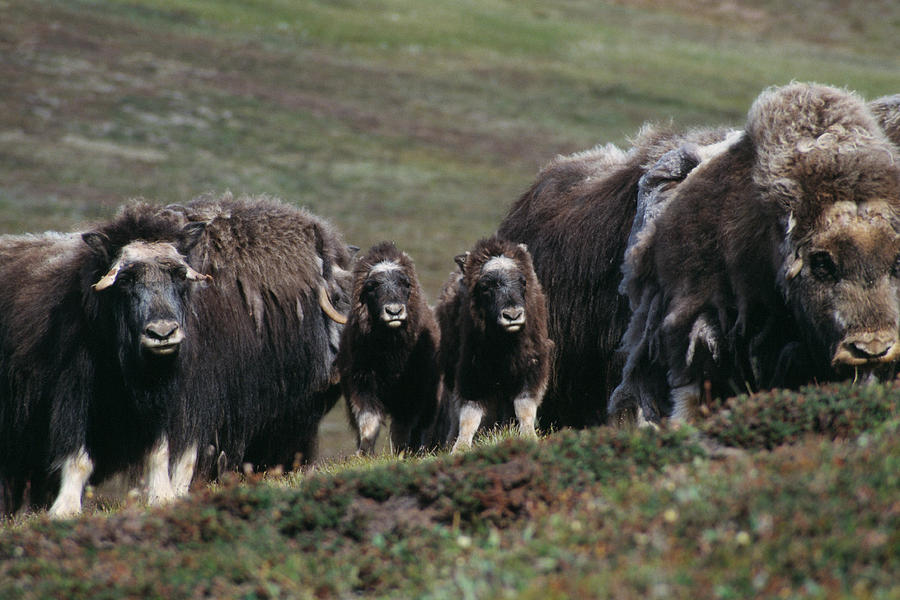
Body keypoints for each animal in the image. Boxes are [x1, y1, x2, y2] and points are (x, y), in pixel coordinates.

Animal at [336, 241, 442, 452]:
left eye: (405, 284)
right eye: (372, 286)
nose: (394, 312)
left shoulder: (411, 391)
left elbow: (401, 428)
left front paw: (401, 452)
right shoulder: (362, 384)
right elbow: (369, 422)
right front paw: (363, 453)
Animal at [438, 237, 556, 452]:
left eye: (522, 282)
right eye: (486, 286)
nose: (512, 315)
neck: (503, 343)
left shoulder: (531, 367)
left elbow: (525, 406)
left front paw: (529, 436)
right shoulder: (471, 374)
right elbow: (469, 416)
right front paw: (460, 447)